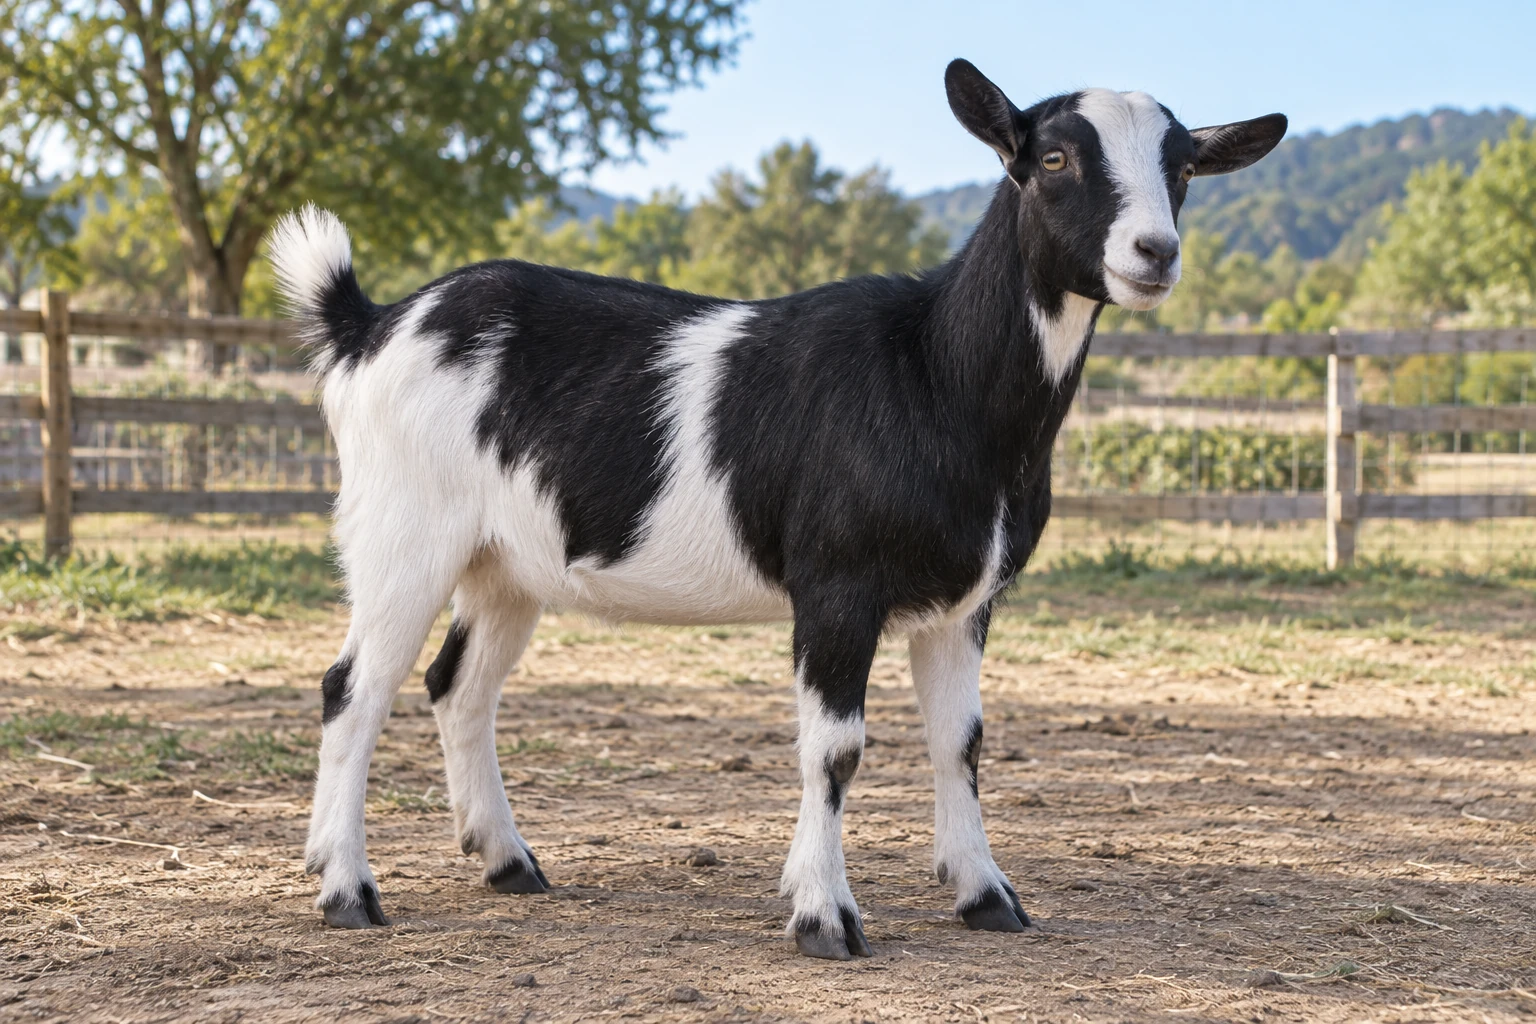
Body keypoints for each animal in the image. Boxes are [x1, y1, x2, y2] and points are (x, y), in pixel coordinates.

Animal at [270, 58, 1285, 960]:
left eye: (1183, 168)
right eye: (1055, 158)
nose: (1154, 254)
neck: (932, 373)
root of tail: (372, 325)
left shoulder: (965, 600)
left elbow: (960, 743)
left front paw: (986, 896)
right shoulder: (837, 584)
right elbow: (834, 749)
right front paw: (824, 916)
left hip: (504, 562)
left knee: (459, 687)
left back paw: (506, 863)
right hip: (403, 531)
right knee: (352, 690)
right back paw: (347, 891)